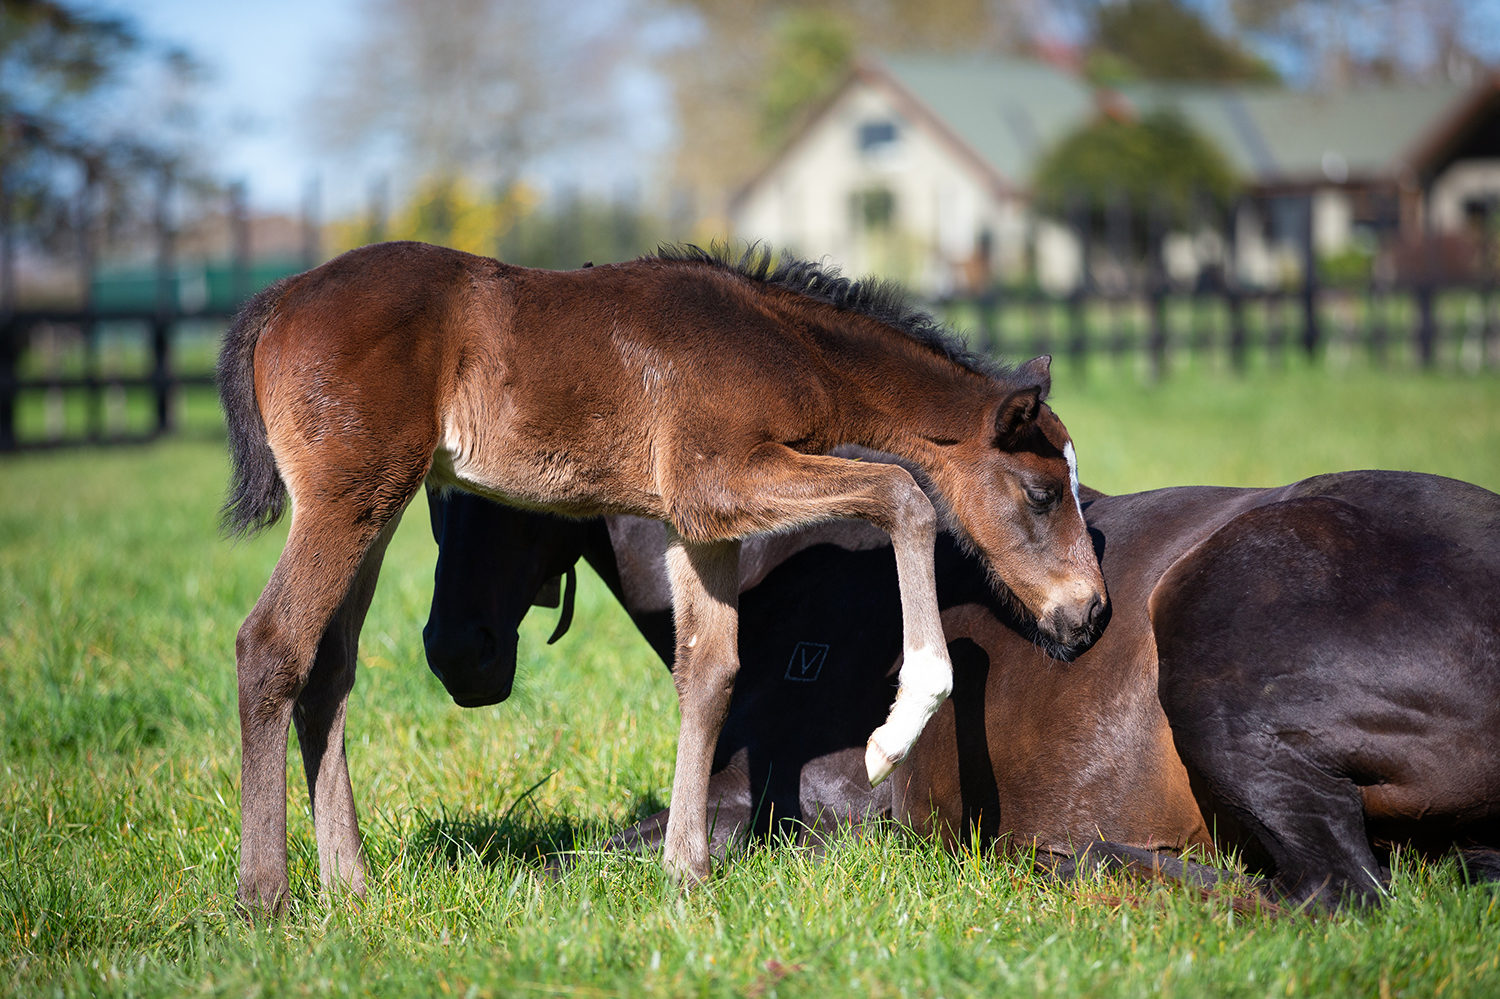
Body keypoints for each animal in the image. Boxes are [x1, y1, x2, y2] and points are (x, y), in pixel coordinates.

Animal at [217, 241, 1110, 912]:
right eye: (1040, 494)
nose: (1091, 613)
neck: (777, 342)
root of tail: (278, 302)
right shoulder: (720, 479)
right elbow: (906, 495)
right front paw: (898, 728)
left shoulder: (700, 522)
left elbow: (709, 673)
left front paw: (688, 869)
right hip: (350, 496)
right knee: (270, 643)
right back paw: (265, 895)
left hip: (372, 504)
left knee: (329, 670)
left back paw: (351, 884)